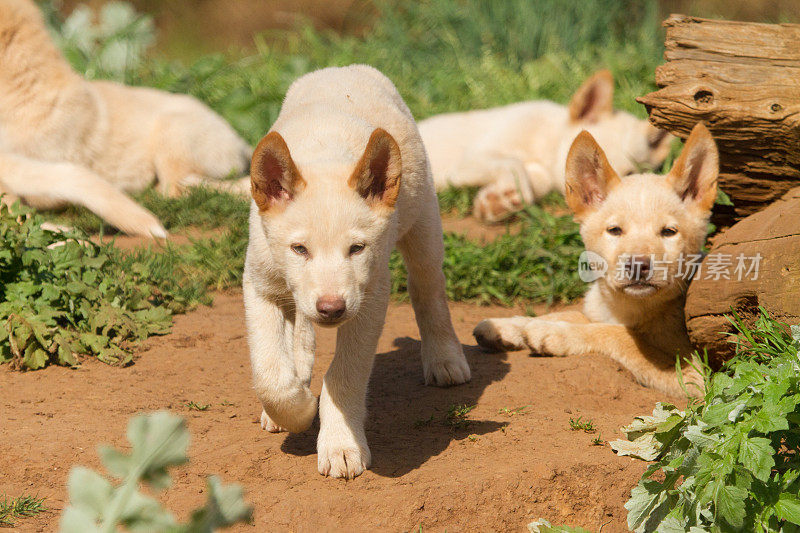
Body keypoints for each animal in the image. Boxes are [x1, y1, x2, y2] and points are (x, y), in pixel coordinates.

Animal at [244, 65, 468, 478]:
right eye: (299, 249)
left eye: (357, 248)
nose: (332, 308)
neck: (323, 156)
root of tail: (341, 68)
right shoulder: (260, 285)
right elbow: (270, 374)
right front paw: (297, 408)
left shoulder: (370, 298)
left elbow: (343, 375)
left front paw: (339, 444)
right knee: (300, 332)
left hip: (424, 224)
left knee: (428, 290)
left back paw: (445, 358)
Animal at [418, 70, 676, 222]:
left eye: (631, 175)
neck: (546, 143)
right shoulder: (469, 160)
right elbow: (512, 162)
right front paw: (504, 196)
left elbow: (531, 184)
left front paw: (495, 199)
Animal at [476, 121, 720, 394]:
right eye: (615, 230)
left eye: (669, 232)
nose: (638, 266)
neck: (628, 308)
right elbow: (571, 314)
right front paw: (510, 326)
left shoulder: (696, 377)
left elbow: (619, 335)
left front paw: (554, 333)